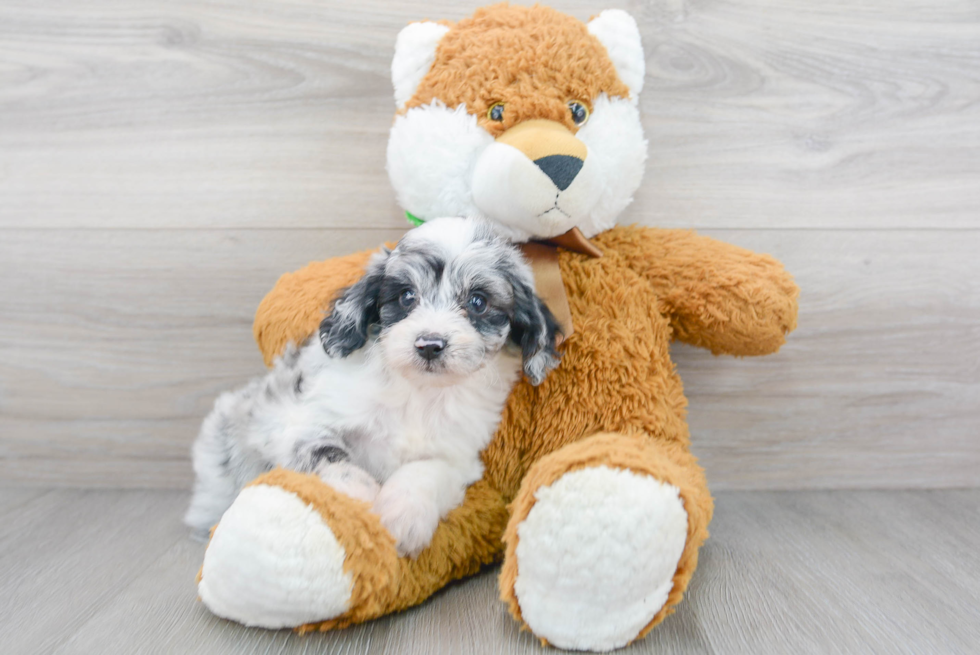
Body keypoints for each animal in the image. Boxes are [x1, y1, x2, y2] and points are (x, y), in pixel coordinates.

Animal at [185, 218, 564, 556]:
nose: (429, 344)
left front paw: (403, 516)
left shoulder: (456, 455)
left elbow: (425, 472)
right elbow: (325, 452)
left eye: (478, 302)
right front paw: (358, 496)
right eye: (407, 296)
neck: (418, 393)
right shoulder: (298, 418)